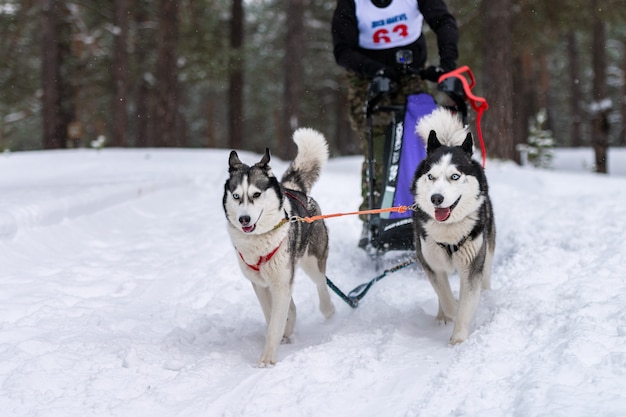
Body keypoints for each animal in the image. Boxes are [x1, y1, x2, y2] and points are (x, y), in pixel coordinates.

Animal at [222, 128, 334, 366]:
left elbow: (276, 322)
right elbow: (272, 314)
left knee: (321, 284)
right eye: (236, 196)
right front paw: (284, 330)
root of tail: (294, 190)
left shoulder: (281, 281)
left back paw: (328, 310)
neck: (259, 240)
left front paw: (267, 360)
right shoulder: (261, 284)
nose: (244, 219)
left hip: (312, 263)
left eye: (256, 194)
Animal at [412, 107, 494, 344]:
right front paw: (450, 312)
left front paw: (458, 339)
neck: (449, 230)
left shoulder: (472, 266)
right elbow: (447, 298)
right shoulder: (431, 262)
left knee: (486, 276)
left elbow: (467, 303)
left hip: (487, 250)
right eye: (431, 176)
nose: (436, 198)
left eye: (455, 176)